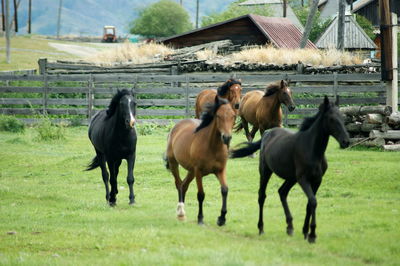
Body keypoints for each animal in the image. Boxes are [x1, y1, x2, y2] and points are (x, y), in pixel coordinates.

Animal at [164, 96, 236, 225]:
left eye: (233, 116)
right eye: (218, 116)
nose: (227, 137)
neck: (212, 147)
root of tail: (175, 127)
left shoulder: (220, 170)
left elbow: (224, 190)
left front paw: (221, 218)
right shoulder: (199, 172)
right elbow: (201, 194)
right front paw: (200, 218)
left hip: (191, 171)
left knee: (184, 185)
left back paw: (183, 214)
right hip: (174, 164)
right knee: (178, 184)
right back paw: (180, 212)